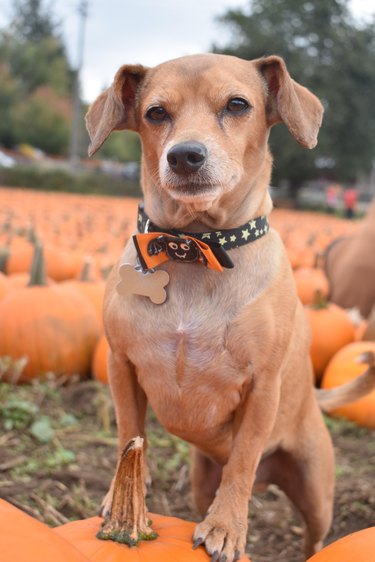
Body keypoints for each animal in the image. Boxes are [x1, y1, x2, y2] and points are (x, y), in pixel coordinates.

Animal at [85, 53, 375, 560]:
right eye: (156, 113)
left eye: (237, 105)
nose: (184, 155)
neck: (194, 247)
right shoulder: (121, 365)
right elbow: (128, 435)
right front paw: (122, 498)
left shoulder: (262, 387)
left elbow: (242, 460)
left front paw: (226, 526)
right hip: (202, 478)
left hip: (316, 490)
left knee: (313, 535)